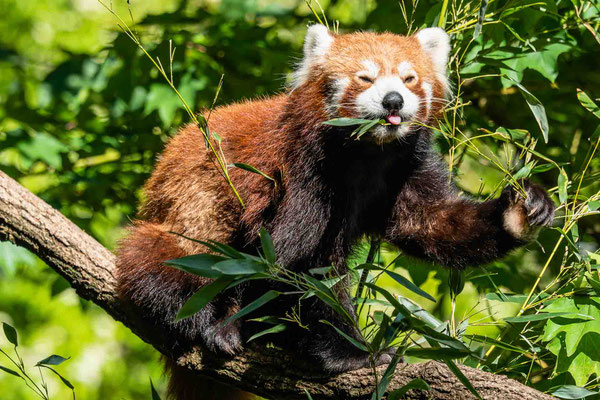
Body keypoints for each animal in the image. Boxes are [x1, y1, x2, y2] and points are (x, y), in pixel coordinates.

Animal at [115, 25, 556, 400]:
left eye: (409, 79)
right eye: (365, 78)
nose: (393, 100)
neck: (368, 153)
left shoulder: (404, 172)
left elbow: (435, 224)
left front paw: (520, 211)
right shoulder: (302, 174)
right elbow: (295, 266)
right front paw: (353, 354)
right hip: (185, 222)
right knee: (170, 263)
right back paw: (210, 323)